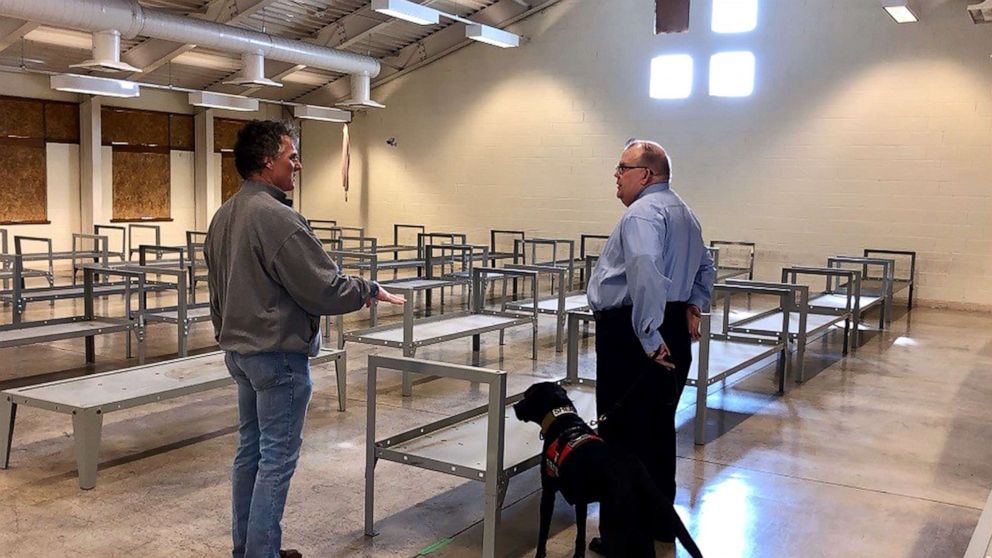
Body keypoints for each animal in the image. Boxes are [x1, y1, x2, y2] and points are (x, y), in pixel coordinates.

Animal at [516, 384, 700, 558]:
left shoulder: (548, 493)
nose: (516, 407)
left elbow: (543, 535)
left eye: (526, 395)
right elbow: (580, 536)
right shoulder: (581, 501)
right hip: (641, 527)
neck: (562, 419)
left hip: (613, 526)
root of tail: (637, 472)